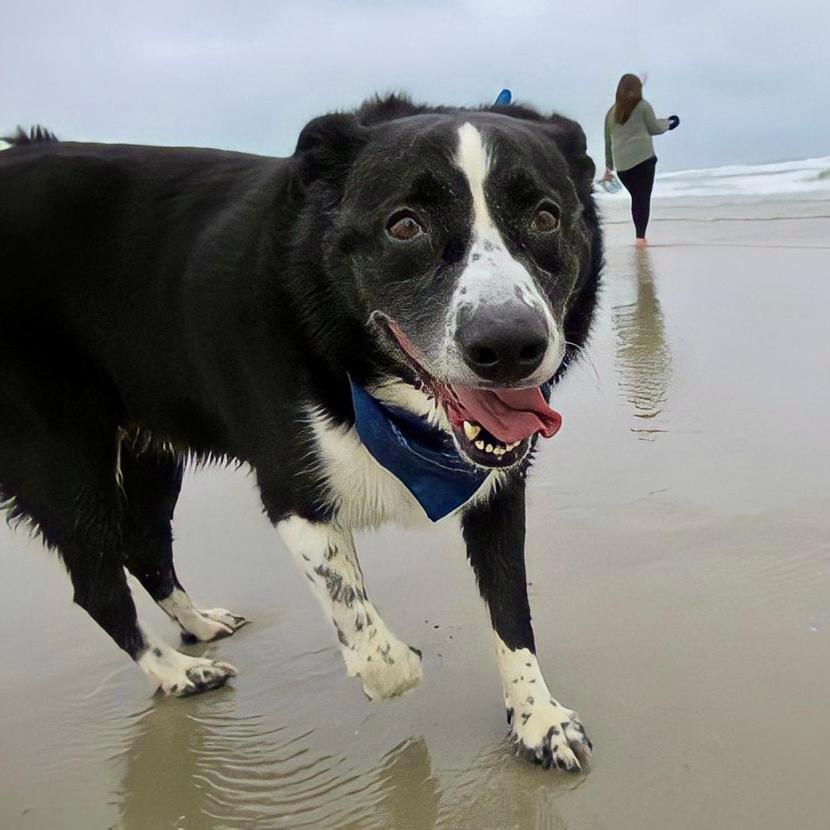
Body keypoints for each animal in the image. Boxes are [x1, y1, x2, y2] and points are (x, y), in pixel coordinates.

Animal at [0, 96, 600, 772]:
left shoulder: (498, 485)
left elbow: (511, 607)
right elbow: (374, 647)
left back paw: (198, 626)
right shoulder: (295, 491)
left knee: (145, 546)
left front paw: (538, 717)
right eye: (404, 226)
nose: (510, 346)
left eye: (546, 216)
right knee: (96, 584)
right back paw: (176, 671)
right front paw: (404, 668)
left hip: (152, 445)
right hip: (60, 455)